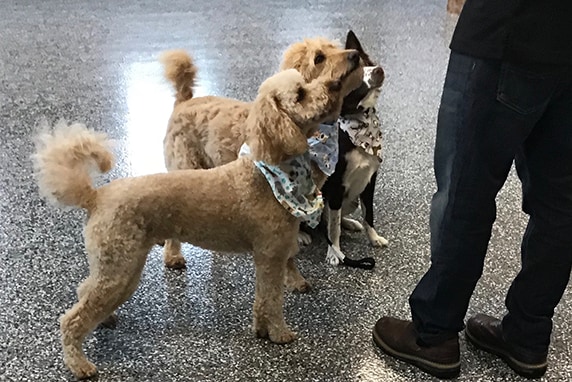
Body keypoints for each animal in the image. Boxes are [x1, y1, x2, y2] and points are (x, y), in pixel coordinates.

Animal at [33, 69, 342, 380]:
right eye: (300, 94)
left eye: (307, 81)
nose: (335, 84)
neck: (269, 174)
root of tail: (95, 196)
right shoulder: (271, 256)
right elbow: (273, 300)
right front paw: (280, 334)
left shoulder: (266, 260)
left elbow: (261, 299)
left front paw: (261, 330)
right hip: (118, 267)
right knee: (71, 319)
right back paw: (80, 365)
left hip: (120, 267)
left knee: (84, 290)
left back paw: (105, 320)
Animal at [161, 38, 362, 268]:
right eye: (319, 58)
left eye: (336, 47)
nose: (355, 55)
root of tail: (184, 101)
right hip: (185, 166)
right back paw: (173, 255)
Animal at [322, 29, 388, 268]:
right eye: (355, 78)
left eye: (367, 63)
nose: (378, 69)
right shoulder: (335, 187)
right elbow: (333, 229)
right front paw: (335, 253)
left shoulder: (369, 181)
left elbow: (369, 214)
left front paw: (374, 238)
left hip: (351, 200)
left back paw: (350, 223)